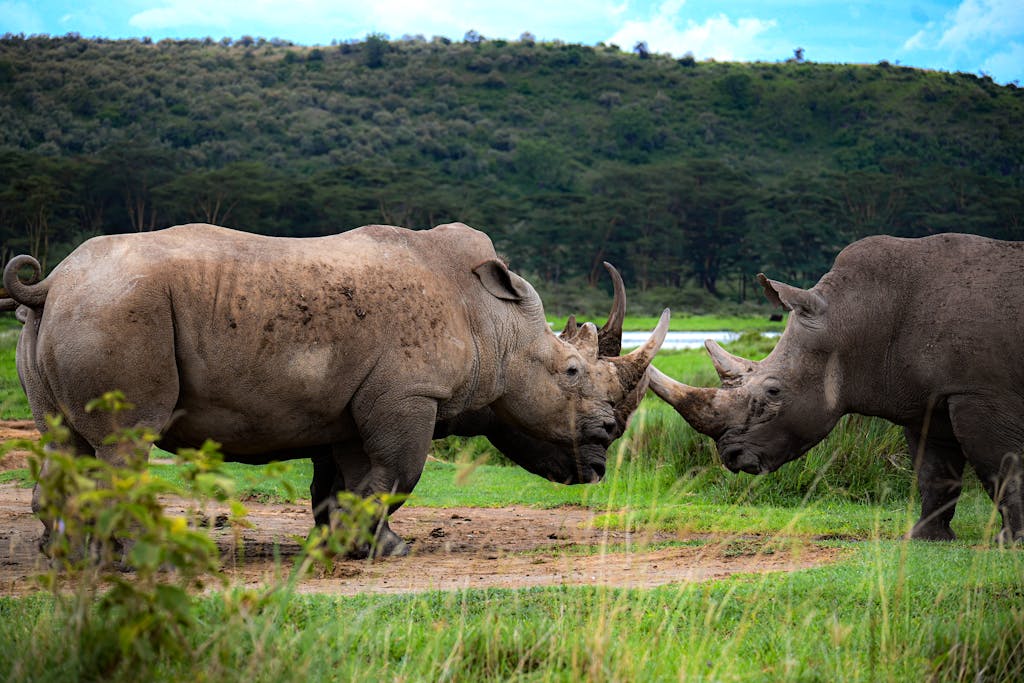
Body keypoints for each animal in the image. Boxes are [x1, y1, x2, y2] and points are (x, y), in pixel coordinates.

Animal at [2, 224, 671, 557]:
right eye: (572, 373)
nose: (606, 441)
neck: (495, 322)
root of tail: (51, 282)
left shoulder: (346, 404)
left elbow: (343, 480)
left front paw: (349, 545)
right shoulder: (410, 394)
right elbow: (399, 474)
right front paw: (382, 548)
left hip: (75, 310)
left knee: (63, 439)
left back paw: (73, 558)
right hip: (118, 307)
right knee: (127, 441)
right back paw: (139, 555)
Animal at [647, 232, 1024, 540]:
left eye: (773, 392)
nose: (732, 457)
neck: (857, 317)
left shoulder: (980, 392)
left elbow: (1000, 464)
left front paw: (1012, 541)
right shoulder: (929, 398)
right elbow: (934, 469)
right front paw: (927, 537)